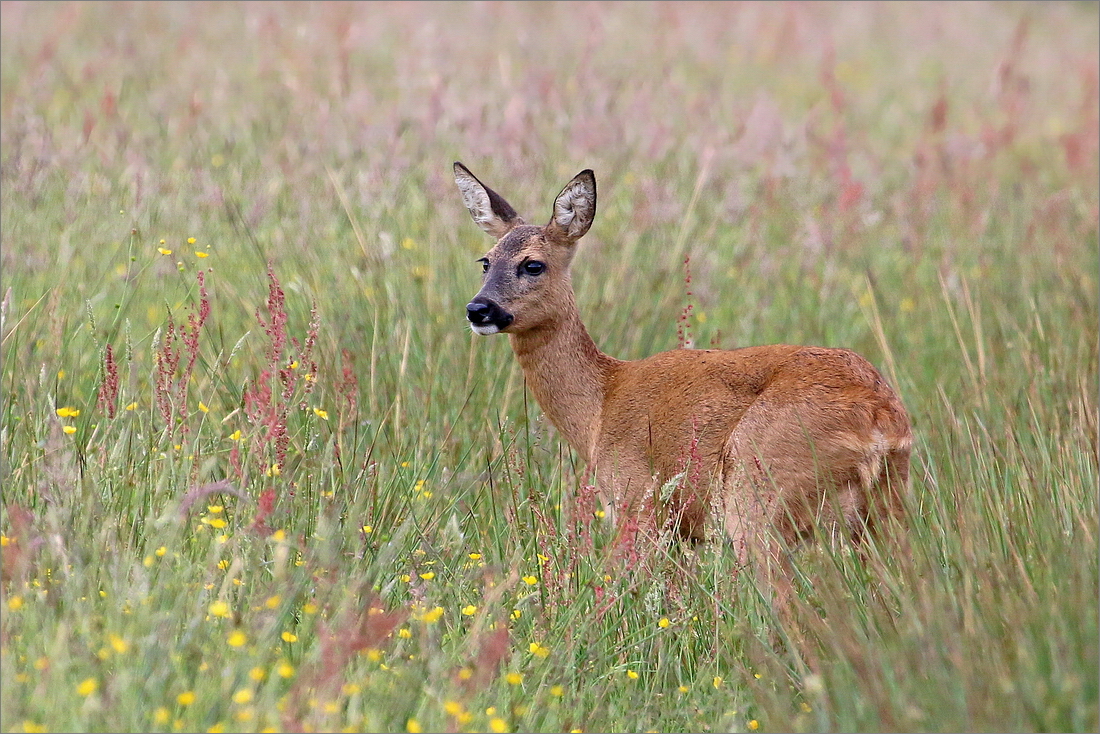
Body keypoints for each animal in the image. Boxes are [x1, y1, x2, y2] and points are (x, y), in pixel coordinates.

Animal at [451, 161, 915, 620]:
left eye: (533, 265)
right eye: (485, 261)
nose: (478, 309)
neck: (600, 404)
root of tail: (879, 419)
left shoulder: (637, 501)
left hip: (757, 494)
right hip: (884, 509)